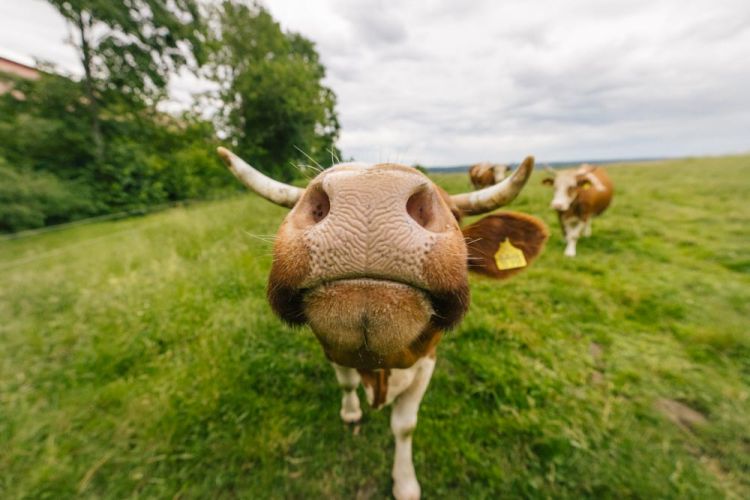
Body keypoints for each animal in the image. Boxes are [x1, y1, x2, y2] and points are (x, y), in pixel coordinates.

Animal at [217, 147, 548, 499]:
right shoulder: (332, 348)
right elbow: (347, 384)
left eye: (458, 215)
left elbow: (404, 426)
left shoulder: (427, 361)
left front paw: (405, 482)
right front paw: (351, 413)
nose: (369, 193)